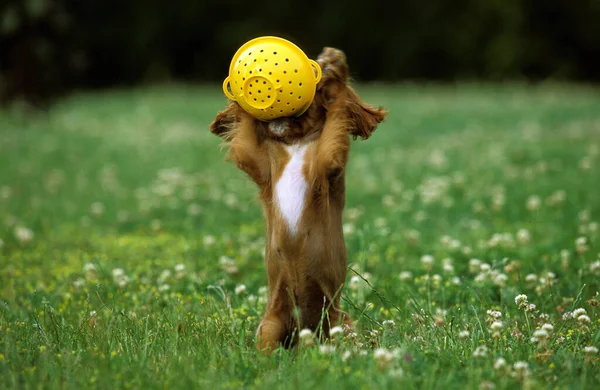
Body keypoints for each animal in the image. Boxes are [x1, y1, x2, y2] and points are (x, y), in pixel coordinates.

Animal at [211, 47, 386, 352]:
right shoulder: (259, 165)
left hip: (337, 323)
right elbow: (245, 132)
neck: (295, 142)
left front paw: (335, 69)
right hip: (270, 326)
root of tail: (302, 333)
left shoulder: (326, 164)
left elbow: (336, 114)